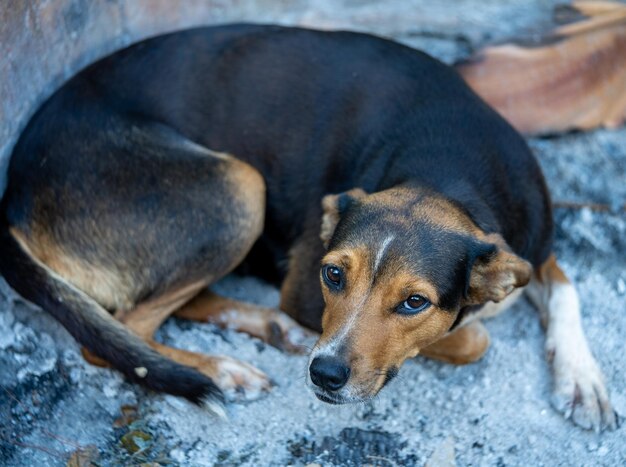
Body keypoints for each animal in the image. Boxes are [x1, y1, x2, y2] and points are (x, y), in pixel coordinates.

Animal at [0, 22, 616, 432]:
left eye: (414, 302)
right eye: (332, 275)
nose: (325, 374)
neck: (449, 173)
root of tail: (11, 198)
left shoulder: (531, 245)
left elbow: (565, 288)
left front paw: (582, 379)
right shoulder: (302, 290)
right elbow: (475, 337)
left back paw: (272, 334)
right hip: (240, 187)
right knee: (118, 334)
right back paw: (226, 368)